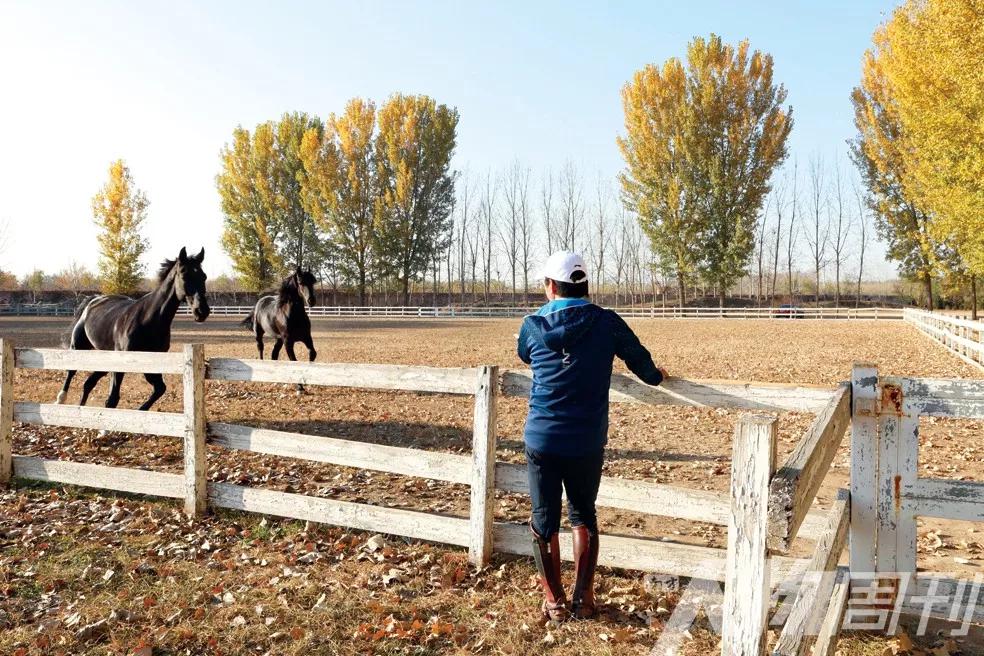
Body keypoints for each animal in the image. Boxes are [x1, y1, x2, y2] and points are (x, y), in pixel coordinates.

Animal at [56, 247, 210, 410]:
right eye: (184, 275)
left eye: (204, 276)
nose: (202, 311)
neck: (149, 320)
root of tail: (94, 300)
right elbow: (112, 400)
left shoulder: (152, 363)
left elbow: (160, 388)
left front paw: (141, 410)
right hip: (78, 347)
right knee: (71, 372)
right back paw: (61, 399)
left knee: (88, 384)